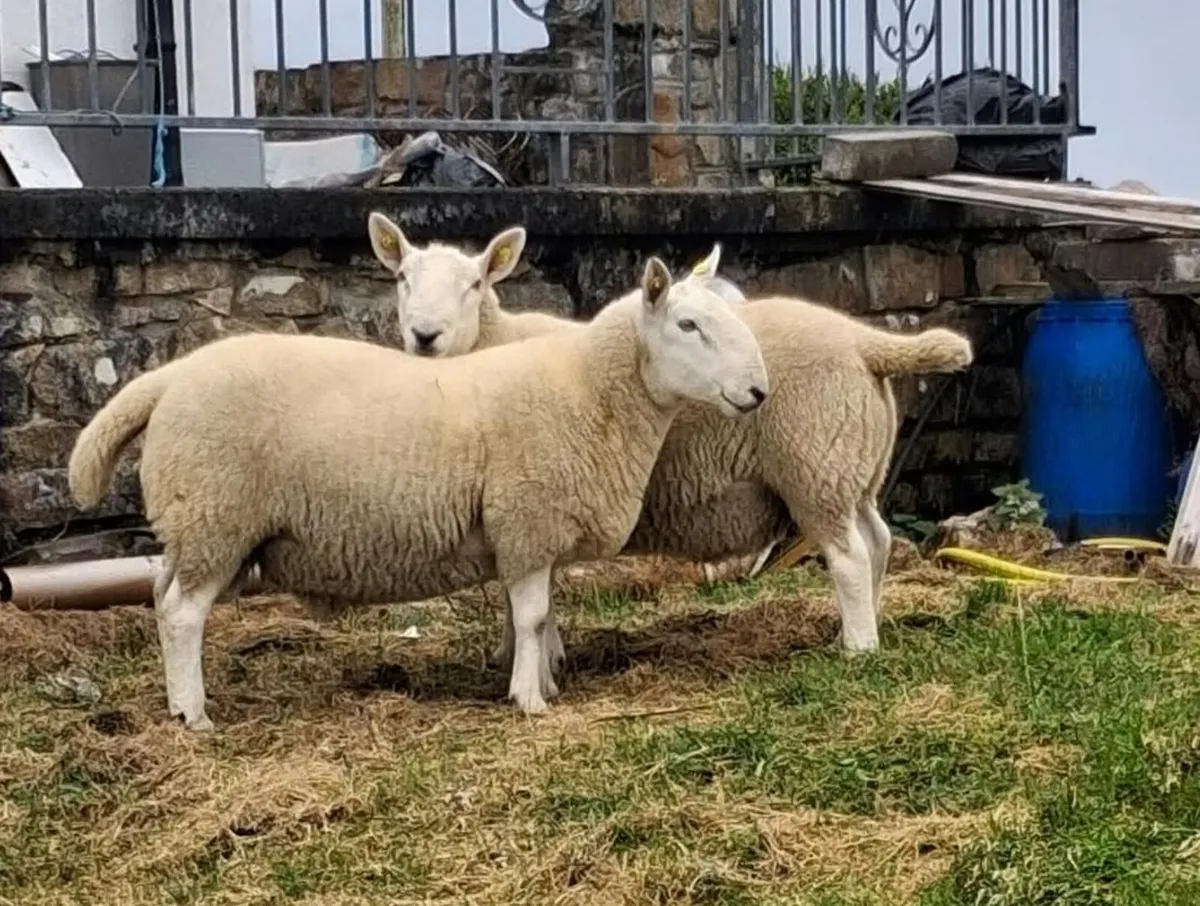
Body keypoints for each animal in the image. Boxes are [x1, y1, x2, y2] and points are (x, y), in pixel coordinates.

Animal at [66, 258, 769, 730]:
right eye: (688, 324)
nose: (759, 391)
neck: (589, 389)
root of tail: (170, 377)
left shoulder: (534, 534)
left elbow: (539, 618)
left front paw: (542, 680)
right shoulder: (527, 517)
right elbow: (533, 617)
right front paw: (530, 700)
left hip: (204, 528)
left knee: (163, 599)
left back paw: (177, 703)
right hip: (215, 513)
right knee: (183, 614)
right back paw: (194, 715)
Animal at [366, 213, 973, 669]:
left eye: (474, 285)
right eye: (402, 279)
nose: (424, 336)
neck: (494, 344)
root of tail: (863, 342)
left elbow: (536, 588)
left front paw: (539, 656)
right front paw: (521, 654)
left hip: (813, 465)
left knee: (848, 557)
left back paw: (857, 651)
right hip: (853, 467)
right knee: (879, 543)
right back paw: (864, 627)